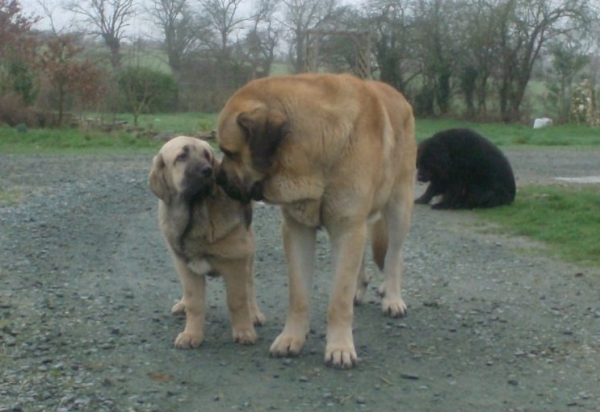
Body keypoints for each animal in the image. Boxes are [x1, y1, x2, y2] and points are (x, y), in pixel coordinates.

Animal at [149, 137, 264, 350]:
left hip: (249, 253)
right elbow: (195, 302)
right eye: (182, 156)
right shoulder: (186, 266)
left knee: (249, 285)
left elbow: (237, 300)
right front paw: (191, 334)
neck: (197, 216)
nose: (207, 171)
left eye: (207, 156)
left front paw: (244, 331)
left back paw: (254, 314)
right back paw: (182, 304)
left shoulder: (237, 263)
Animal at [216, 72, 418, 368]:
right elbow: (299, 295)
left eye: (229, 151)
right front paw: (291, 339)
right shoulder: (298, 230)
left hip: (399, 207)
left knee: (394, 256)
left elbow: (339, 299)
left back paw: (392, 298)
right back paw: (362, 290)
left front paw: (340, 347)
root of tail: (400, 97)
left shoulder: (348, 228)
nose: (216, 178)